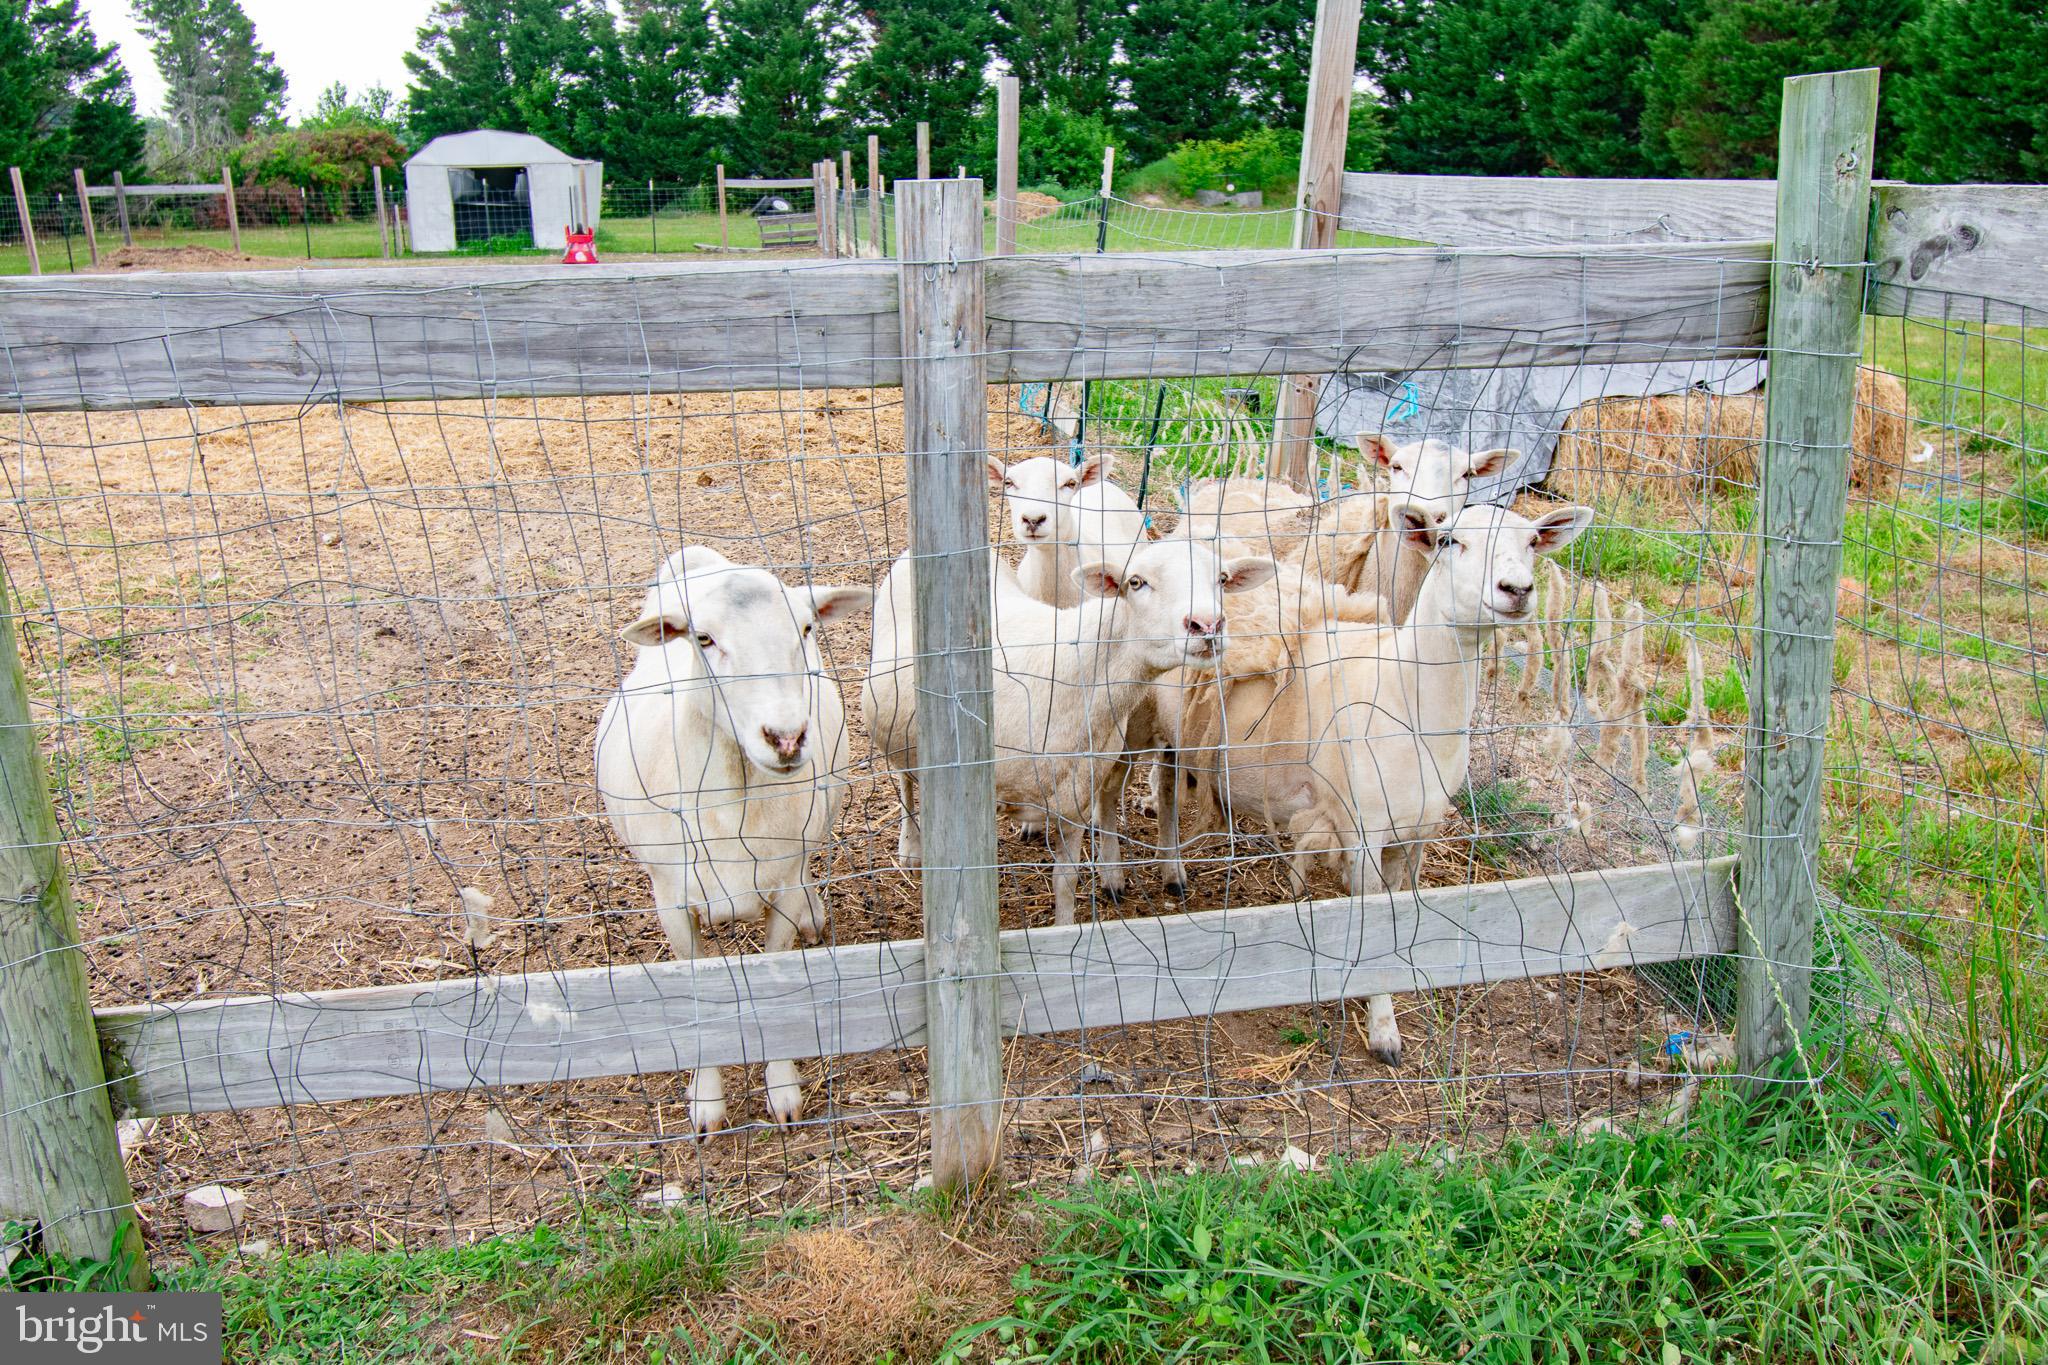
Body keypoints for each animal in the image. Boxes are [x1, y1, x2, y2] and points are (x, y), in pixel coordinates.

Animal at [594, 545, 873, 1135]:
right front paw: (707, 1100)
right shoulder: (671, 900)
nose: (786, 738)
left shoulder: (781, 886)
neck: (731, 802)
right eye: (703, 638)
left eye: (806, 627)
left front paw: (782, 1089)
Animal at [863, 538, 1277, 925]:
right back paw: (911, 846)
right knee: (904, 780)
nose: (1207, 626)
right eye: (1136, 582)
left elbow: (1066, 882)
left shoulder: (1076, 799)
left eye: (1221, 579)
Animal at [1287, 501, 1593, 1062]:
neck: (1407, 700)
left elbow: (1398, 906)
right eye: (1450, 541)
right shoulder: (1368, 828)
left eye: (1532, 543)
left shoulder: (1420, 829)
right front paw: (1383, 1027)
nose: (1517, 589)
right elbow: (1371, 921)